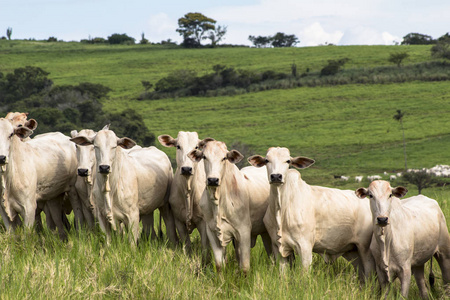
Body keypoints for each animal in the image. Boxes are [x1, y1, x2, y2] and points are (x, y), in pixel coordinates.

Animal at [187, 139, 270, 274]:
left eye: (224, 158)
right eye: (204, 157)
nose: (213, 180)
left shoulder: (244, 231)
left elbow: (245, 267)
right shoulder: (212, 232)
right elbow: (219, 265)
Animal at [248, 148, 374, 282]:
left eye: (288, 161)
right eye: (267, 160)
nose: (276, 176)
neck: (281, 208)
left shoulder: (305, 247)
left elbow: (304, 276)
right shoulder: (278, 247)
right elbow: (283, 275)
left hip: (365, 250)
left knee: (369, 272)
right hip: (353, 251)